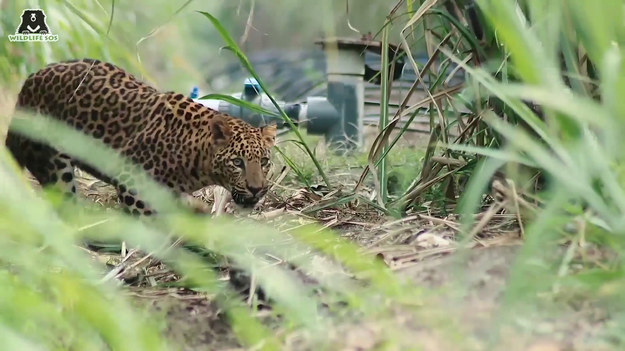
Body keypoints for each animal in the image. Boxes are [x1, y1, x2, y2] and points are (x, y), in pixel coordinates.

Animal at [5, 58, 276, 216]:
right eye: (237, 162)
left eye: (264, 162)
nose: (257, 189)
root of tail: (29, 82)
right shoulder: (131, 182)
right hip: (54, 163)